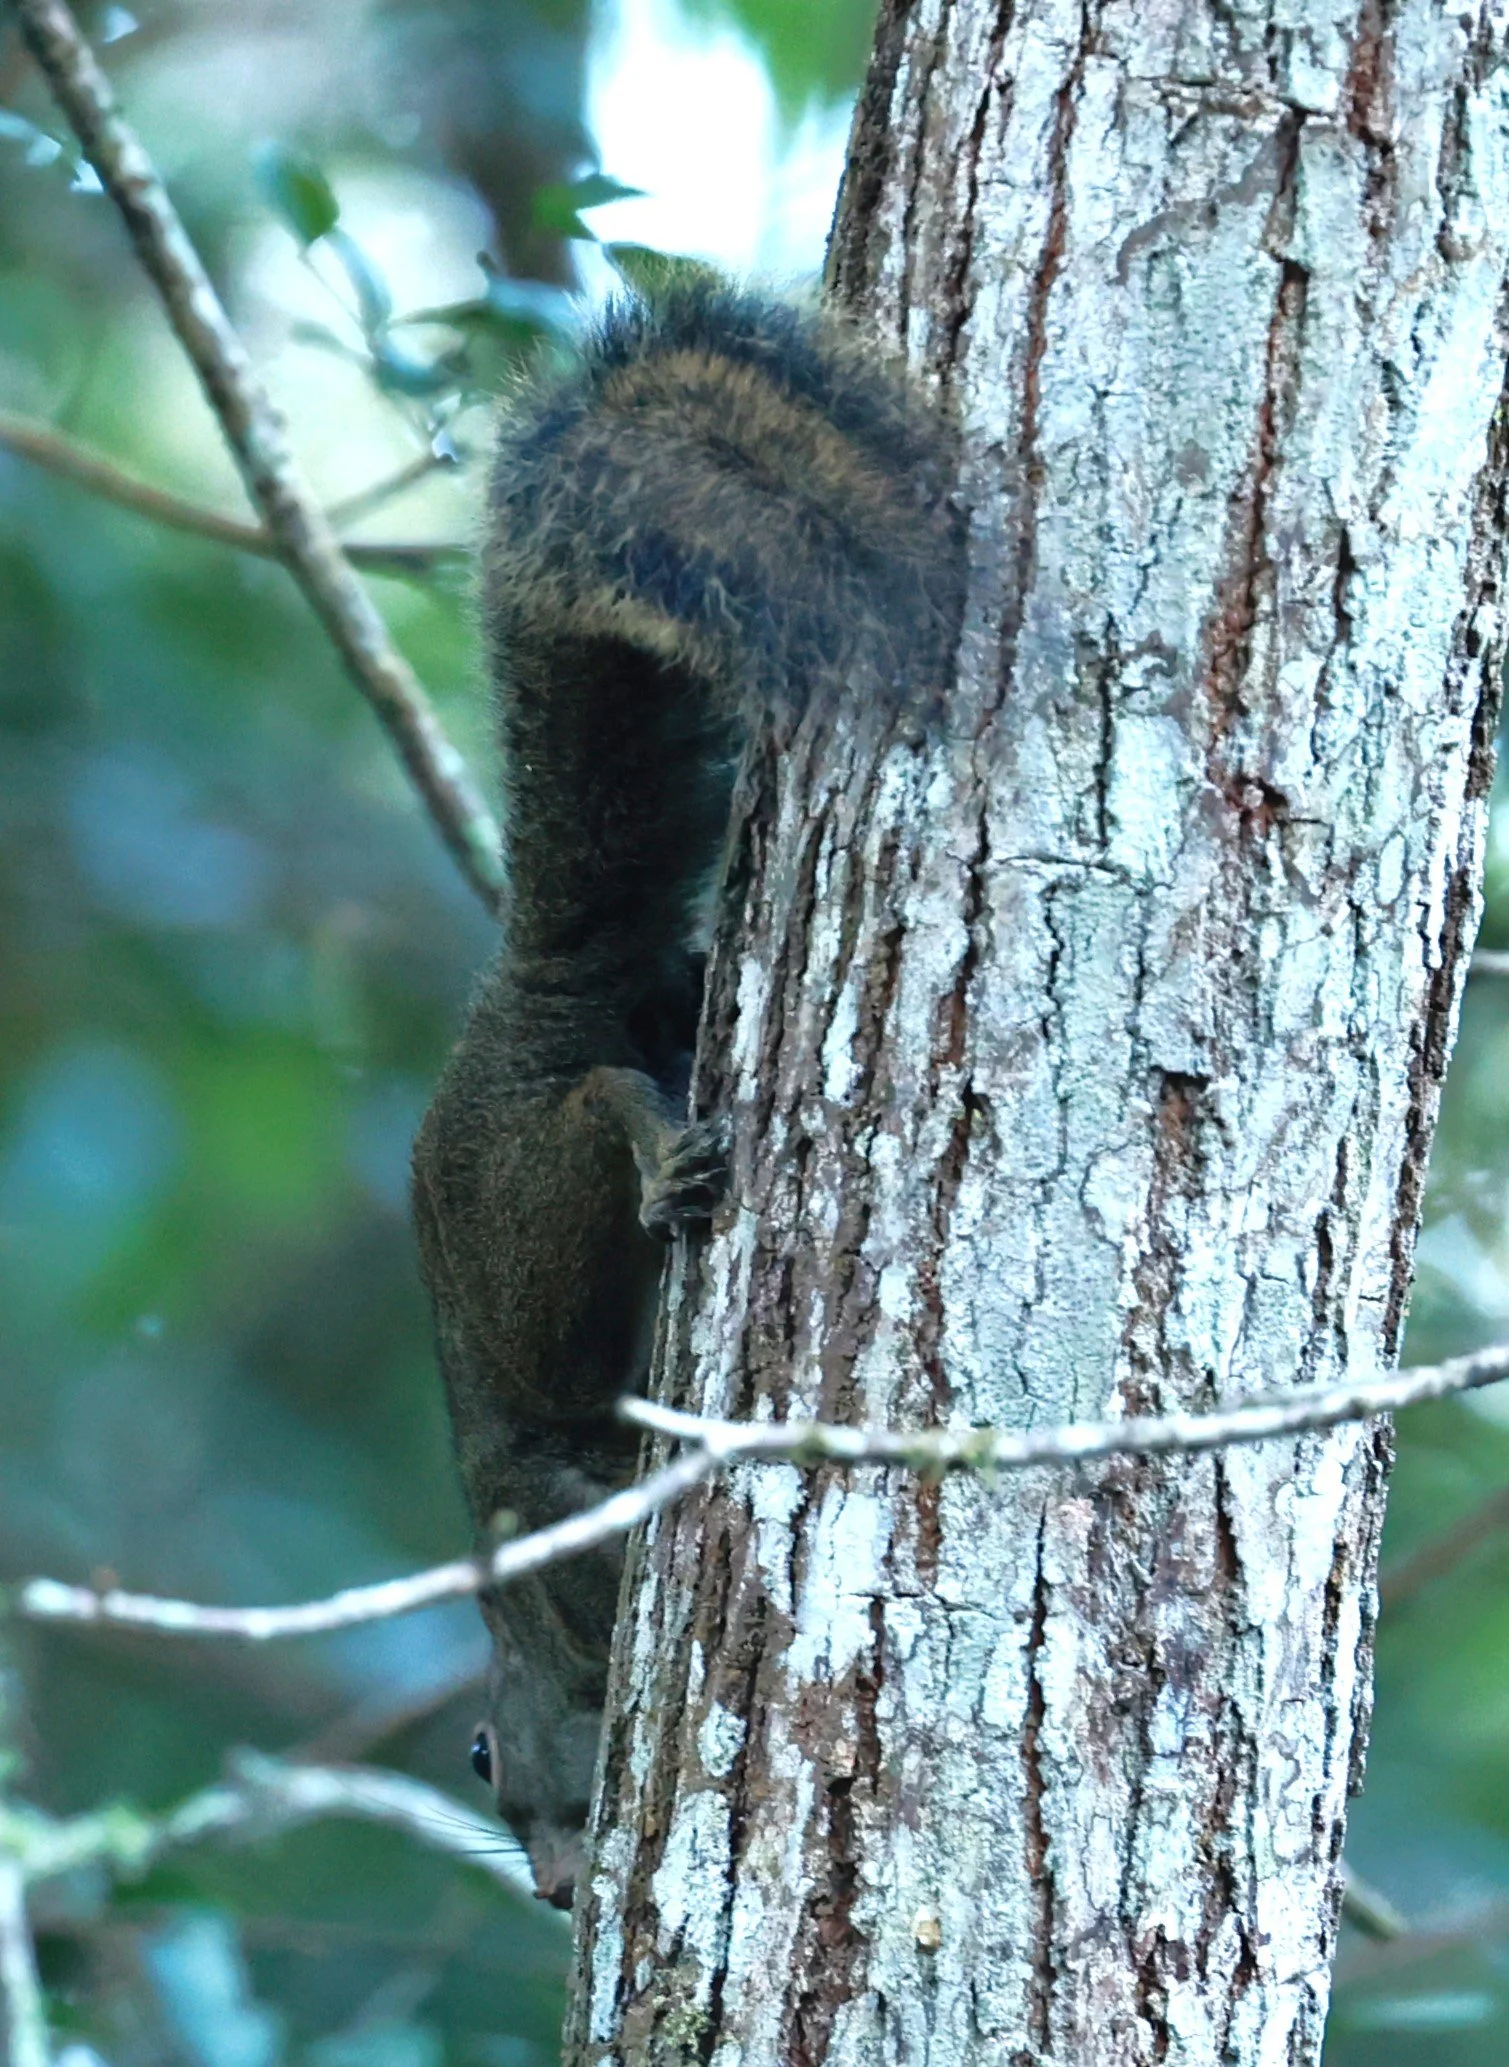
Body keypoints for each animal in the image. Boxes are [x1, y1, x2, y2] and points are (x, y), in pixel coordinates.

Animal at [410, 284, 959, 1908]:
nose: (550, 1887)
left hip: (531, 1195)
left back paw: (661, 1157)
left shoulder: (555, 1535)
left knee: (599, 1095)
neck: (528, 1643)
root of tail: (523, 1007)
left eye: (479, 1755)